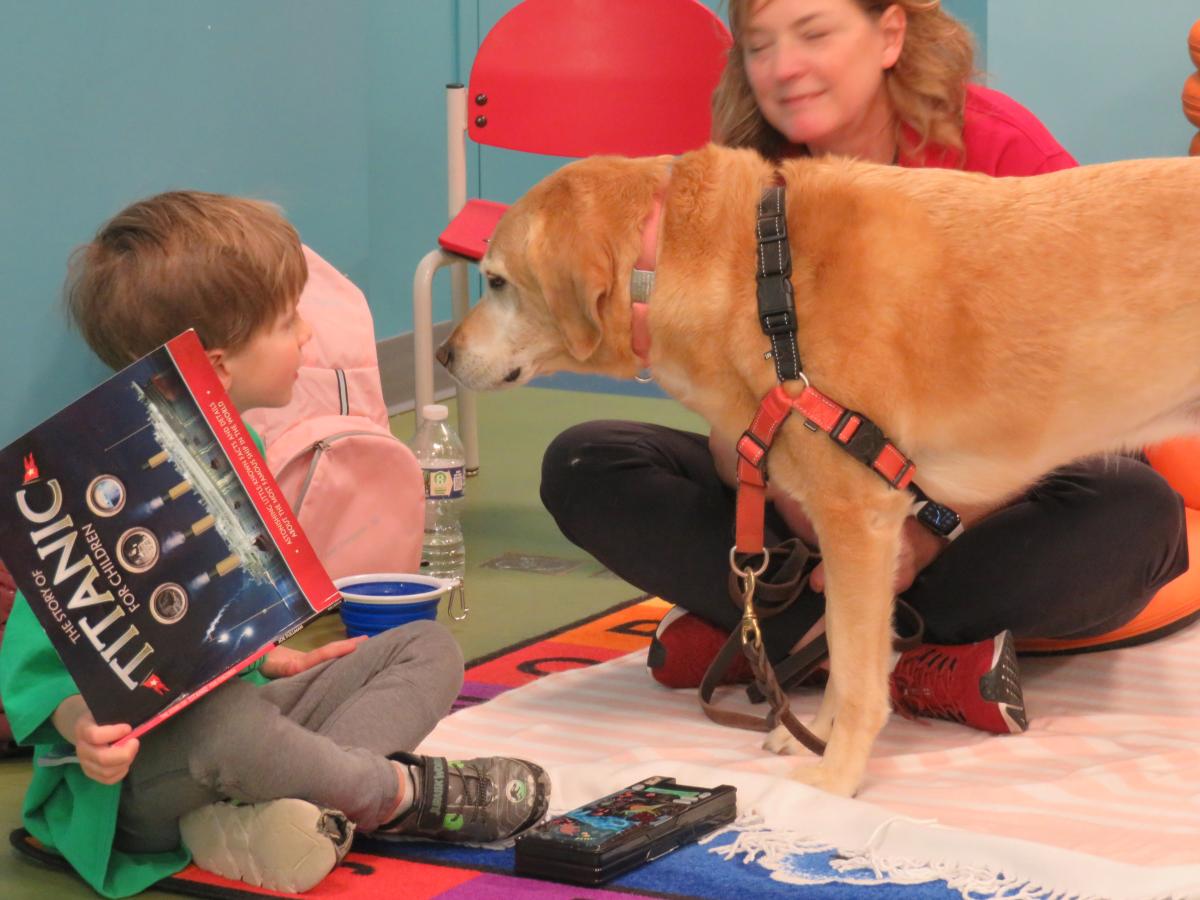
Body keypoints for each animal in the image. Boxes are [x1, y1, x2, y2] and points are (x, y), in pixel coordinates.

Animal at [436, 144, 1200, 801]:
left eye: (496, 281)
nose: (442, 354)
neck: (762, 279)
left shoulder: (857, 514)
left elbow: (860, 675)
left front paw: (838, 774)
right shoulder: (845, 535)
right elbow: (837, 638)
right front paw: (819, 732)